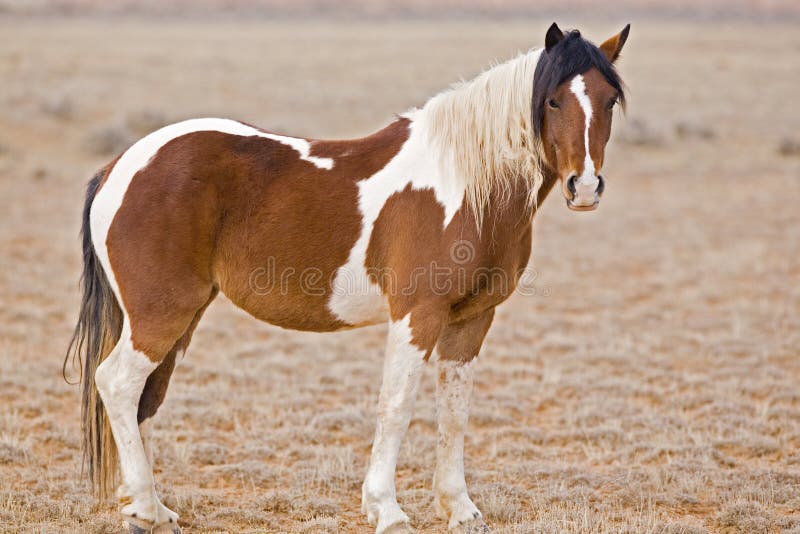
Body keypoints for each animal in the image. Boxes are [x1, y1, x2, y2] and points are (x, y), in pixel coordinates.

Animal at [64, 22, 632, 534]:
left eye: (608, 101)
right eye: (553, 101)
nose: (584, 186)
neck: (464, 186)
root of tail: (118, 167)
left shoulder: (472, 320)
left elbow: (454, 413)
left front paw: (461, 509)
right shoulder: (417, 316)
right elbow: (396, 407)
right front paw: (387, 511)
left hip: (180, 316)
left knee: (145, 397)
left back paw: (150, 509)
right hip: (161, 314)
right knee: (117, 383)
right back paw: (145, 510)